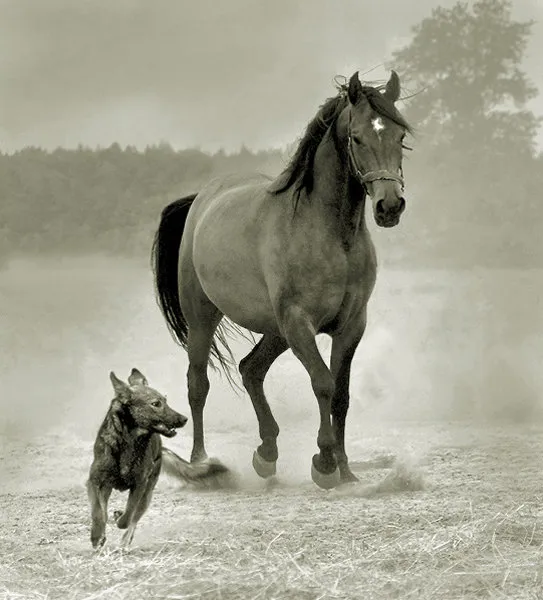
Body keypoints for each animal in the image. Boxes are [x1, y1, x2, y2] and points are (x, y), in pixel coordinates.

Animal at [86, 366, 230, 548]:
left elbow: (128, 517)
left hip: (147, 493)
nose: (184, 419)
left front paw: (119, 520)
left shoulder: (139, 485)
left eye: (165, 400)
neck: (129, 442)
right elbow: (99, 512)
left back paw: (125, 540)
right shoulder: (96, 482)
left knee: (134, 518)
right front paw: (97, 535)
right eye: (156, 404)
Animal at [151, 70, 414, 490]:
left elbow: (341, 395)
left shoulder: (351, 326)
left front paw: (346, 470)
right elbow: (323, 383)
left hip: (274, 330)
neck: (327, 233)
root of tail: (201, 200)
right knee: (198, 385)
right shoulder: (299, 322)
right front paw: (324, 463)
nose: (389, 206)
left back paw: (267, 454)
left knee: (250, 370)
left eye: (399, 136)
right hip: (204, 317)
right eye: (357, 137)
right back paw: (201, 462)